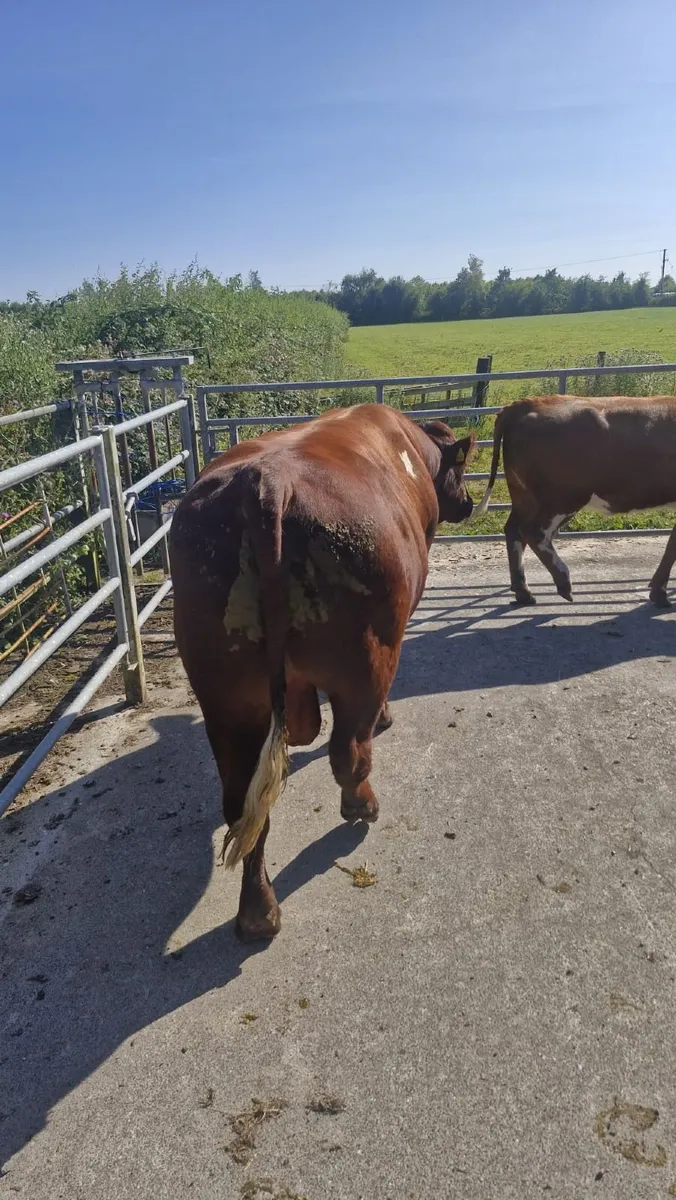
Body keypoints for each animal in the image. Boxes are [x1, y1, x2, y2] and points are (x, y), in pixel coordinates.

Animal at [170, 404, 475, 941]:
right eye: (459, 472)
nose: (472, 502)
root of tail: (266, 483)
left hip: (225, 697)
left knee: (241, 805)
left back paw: (257, 911)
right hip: (366, 658)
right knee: (348, 752)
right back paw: (362, 805)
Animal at [476, 393, 676, 607]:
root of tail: (526, 404)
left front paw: (658, 590)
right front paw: (660, 593)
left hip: (524, 495)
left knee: (513, 531)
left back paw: (524, 592)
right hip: (563, 497)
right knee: (533, 532)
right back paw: (563, 582)